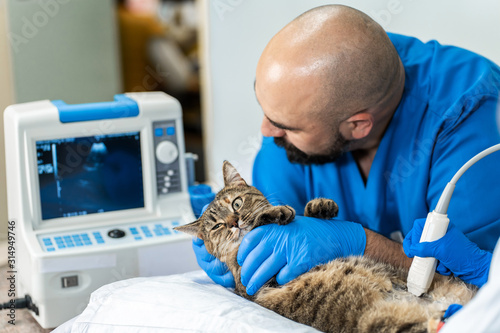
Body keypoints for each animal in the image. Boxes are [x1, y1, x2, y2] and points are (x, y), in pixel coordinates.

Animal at [176, 160, 476, 330]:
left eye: (236, 203)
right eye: (217, 227)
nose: (234, 222)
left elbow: (309, 215)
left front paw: (319, 207)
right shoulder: (255, 283)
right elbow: (264, 222)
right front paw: (275, 213)